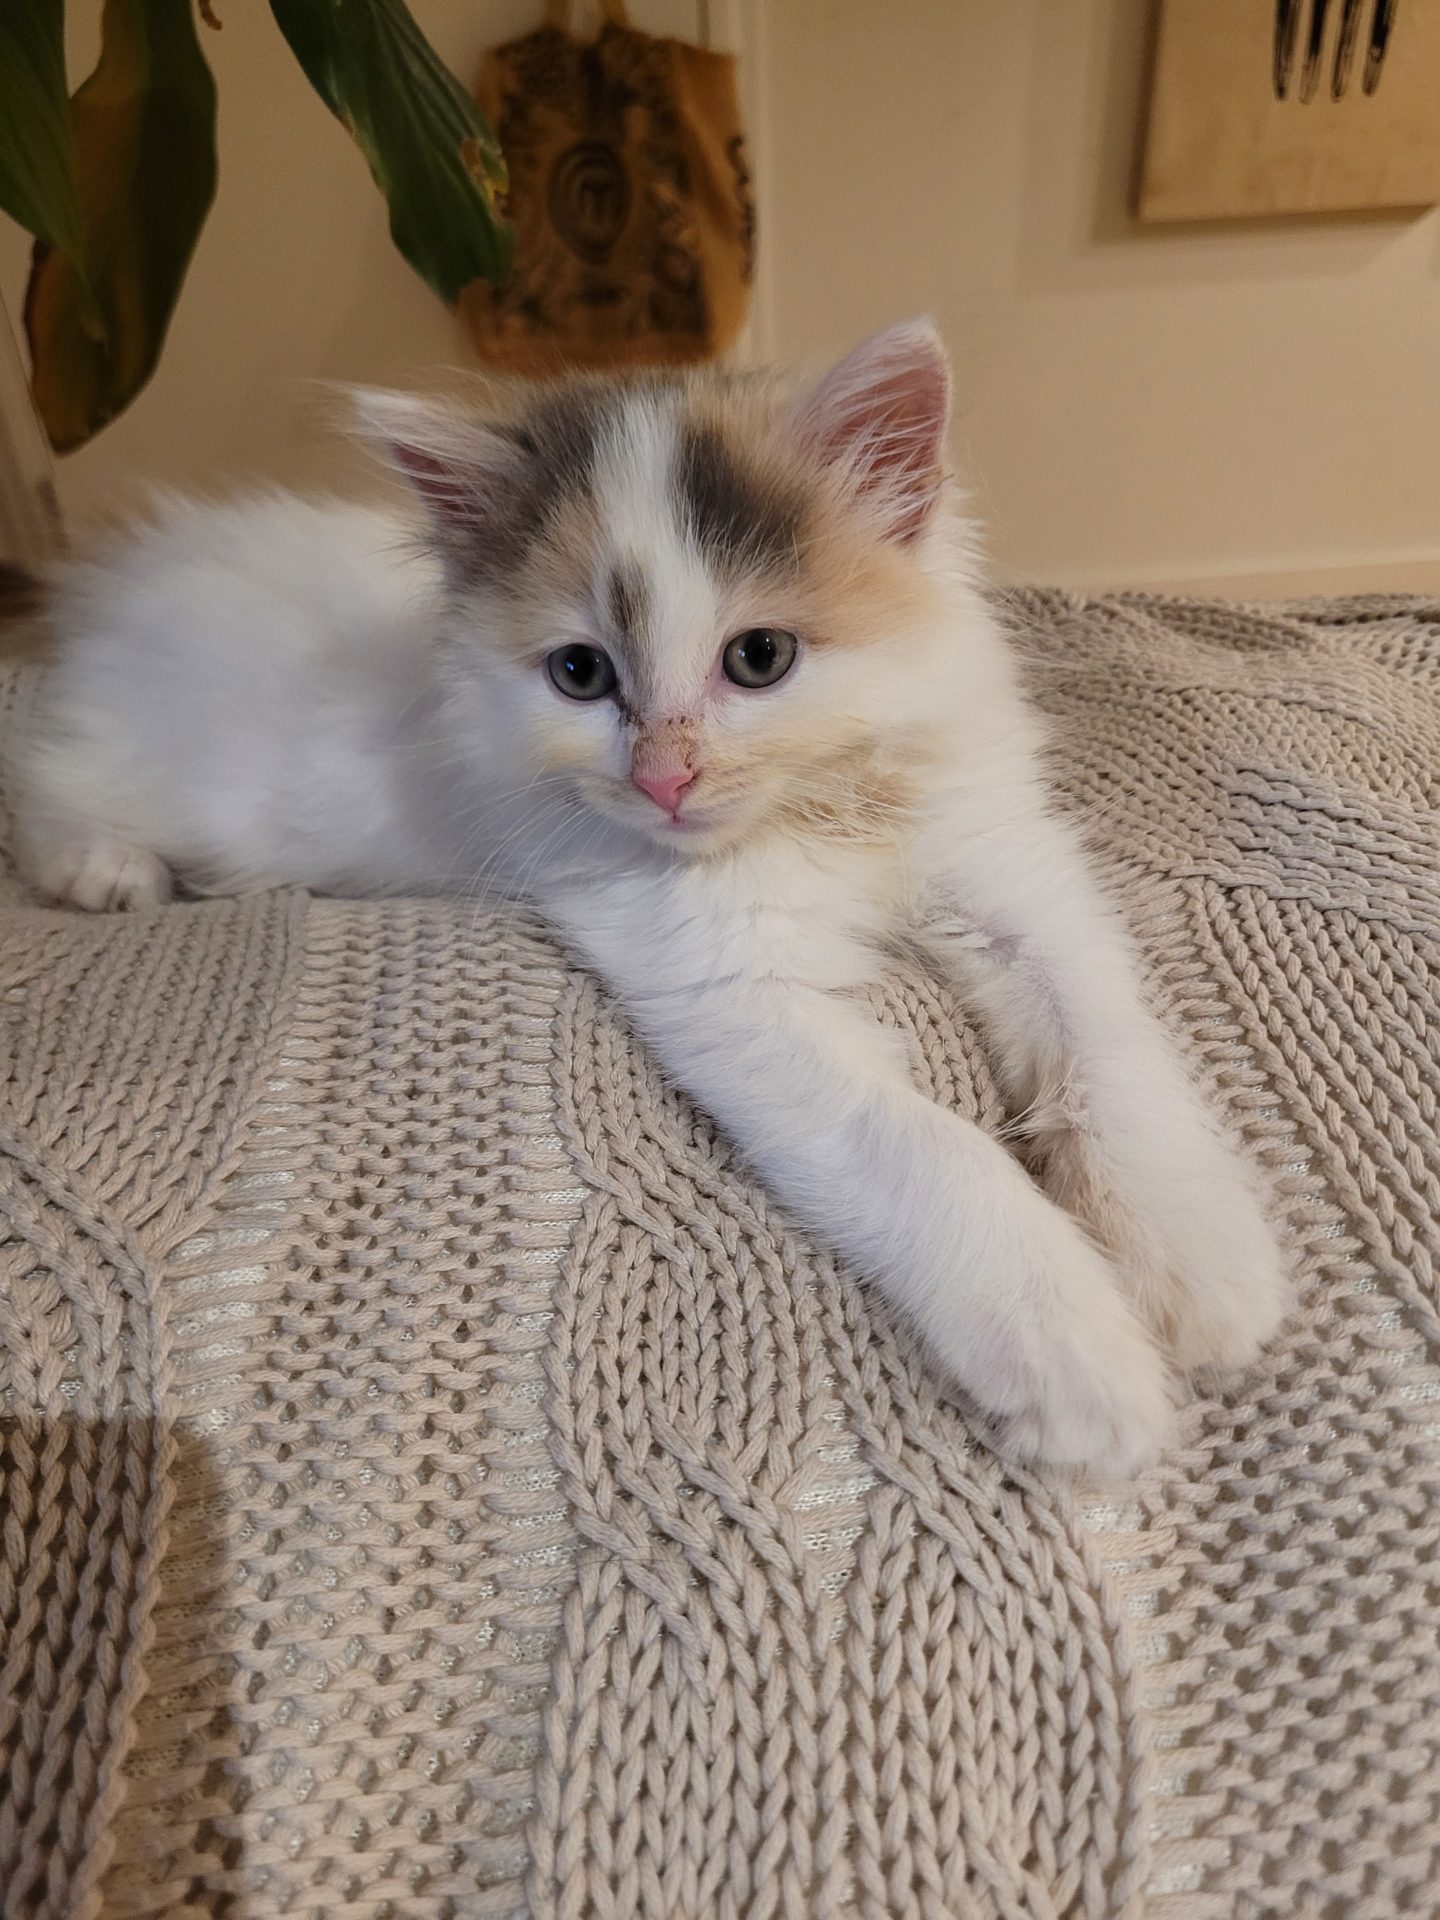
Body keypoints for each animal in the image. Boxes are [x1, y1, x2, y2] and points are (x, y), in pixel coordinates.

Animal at [11, 321, 1288, 1475]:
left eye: (760, 659)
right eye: (581, 674)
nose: (664, 777)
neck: (820, 811)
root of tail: (121, 585)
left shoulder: (1010, 868)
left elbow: (1106, 1051)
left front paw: (1206, 1269)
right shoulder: (726, 984)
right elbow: (926, 1147)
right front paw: (1079, 1361)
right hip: (176, 769)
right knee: (47, 774)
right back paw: (107, 870)